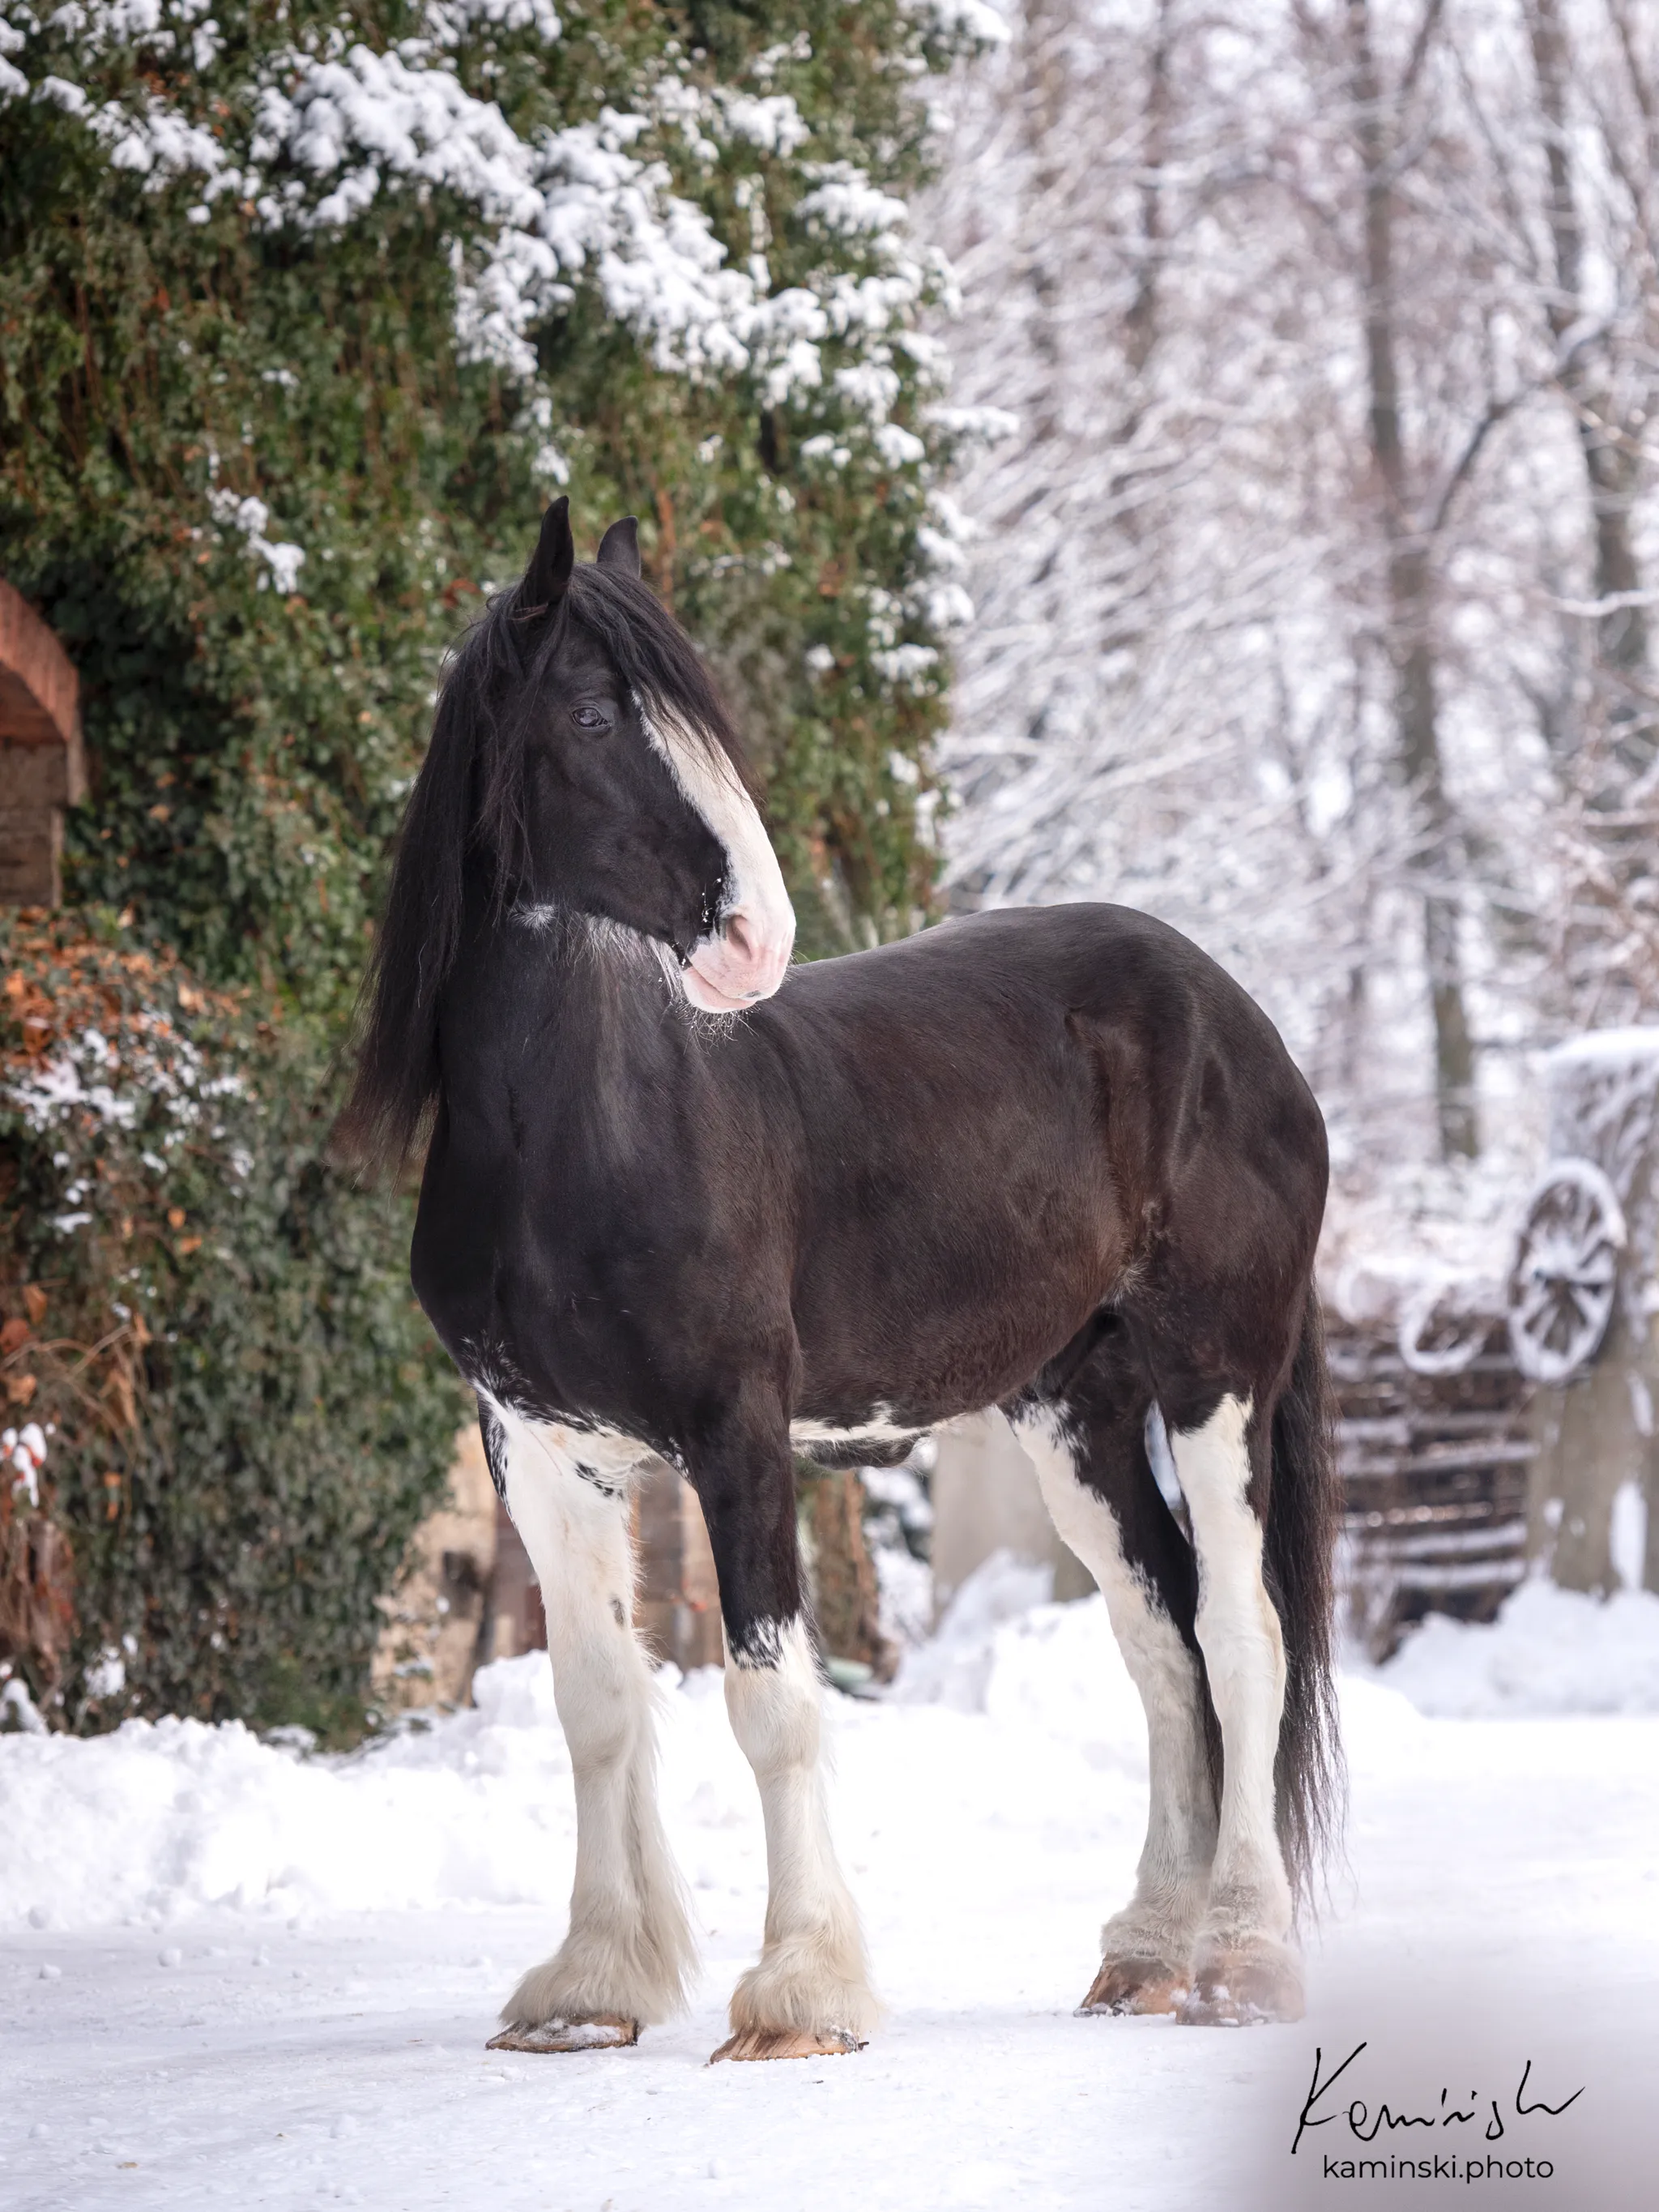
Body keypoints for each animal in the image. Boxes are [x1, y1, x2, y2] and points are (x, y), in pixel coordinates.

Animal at [338, 496, 1342, 2062]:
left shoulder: (737, 1435)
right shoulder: (542, 1453)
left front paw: (800, 1991)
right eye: (588, 714)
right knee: (1160, 1643)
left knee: (1243, 1637)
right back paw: (1141, 1954)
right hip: (1076, 1411)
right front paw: (589, 1986)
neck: (581, 1137)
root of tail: (1231, 1014)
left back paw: (1237, 1959)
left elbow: (774, 1705)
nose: (756, 937)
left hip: (1217, 1375)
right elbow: (598, 1706)